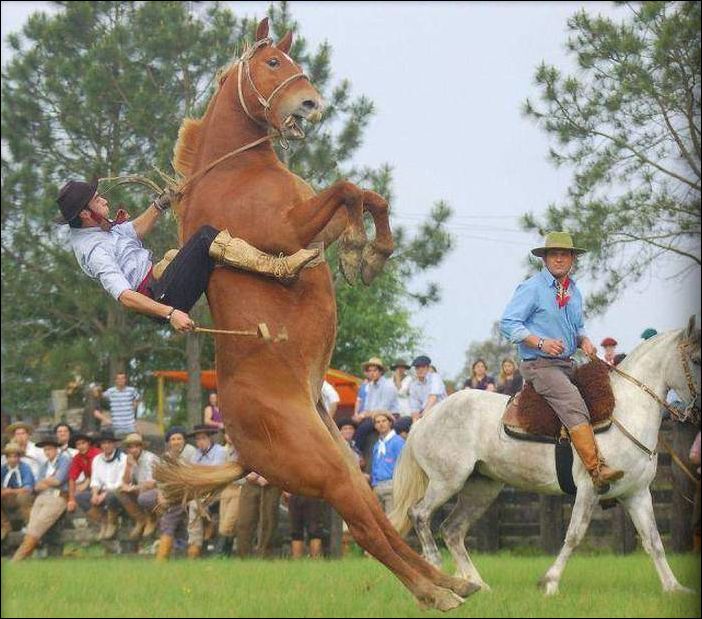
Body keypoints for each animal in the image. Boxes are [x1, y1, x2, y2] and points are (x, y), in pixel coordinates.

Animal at [155, 19, 478, 612]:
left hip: (343, 459)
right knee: (367, 531)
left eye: (294, 60)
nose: (311, 103)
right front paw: (364, 251)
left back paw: (449, 582)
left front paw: (363, 253)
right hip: (322, 469)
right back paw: (436, 592)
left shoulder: (310, 224)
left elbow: (364, 196)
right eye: (273, 63)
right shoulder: (285, 229)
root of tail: (241, 449)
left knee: (378, 520)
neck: (235, 171)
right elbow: (349, 189)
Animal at [394, 320, 700, 596]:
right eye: (696, 359)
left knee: (452, 530)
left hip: (481, 488)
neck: (624, 412)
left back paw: (475, 585)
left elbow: (654, 541)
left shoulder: (637, 494)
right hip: (447, 481)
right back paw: (437, 571)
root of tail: (424, 419)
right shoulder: (589, 489)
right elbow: (574, 536)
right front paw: (550, 583)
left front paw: (674, 587)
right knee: (420, 515)